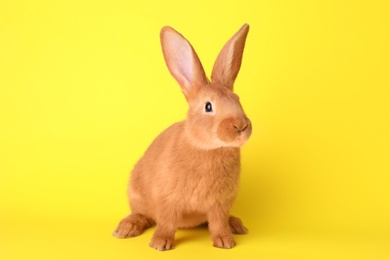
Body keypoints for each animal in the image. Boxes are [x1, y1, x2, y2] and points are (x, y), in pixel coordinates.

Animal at [112, 23, 253, 251]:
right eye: (208, 106)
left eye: (237, 100)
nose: (241, 126)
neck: (207, 147)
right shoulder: (168, 200)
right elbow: (167, 222)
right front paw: (160, 244)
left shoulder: (219, 204)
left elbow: (218, 222)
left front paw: (225, 242)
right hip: (137, 193)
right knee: (143, 214)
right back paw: (126, 228)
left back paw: (236, 225)